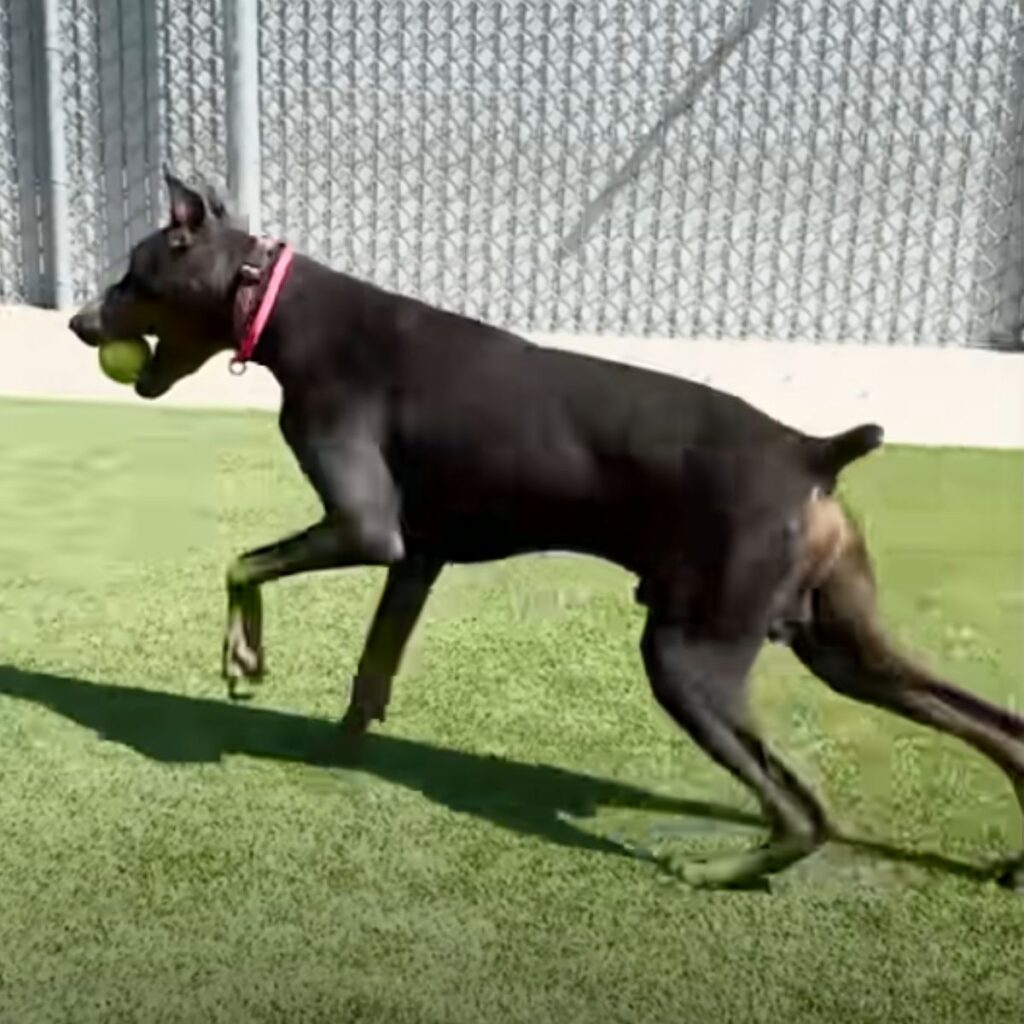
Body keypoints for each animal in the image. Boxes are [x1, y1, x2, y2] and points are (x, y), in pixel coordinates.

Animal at [68, 169, 1019, 888]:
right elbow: (372, 668)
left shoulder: (367, 529)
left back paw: (720, 871)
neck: (282, 306)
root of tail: (813, 451)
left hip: (689, 653)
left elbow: (241, 563)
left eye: (133, 273)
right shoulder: (419, 557)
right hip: (839, 643)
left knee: (805, 811)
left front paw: (243, 661)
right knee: (993, 724)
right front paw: (333, 744)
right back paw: (1006, 862)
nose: (79, 323)